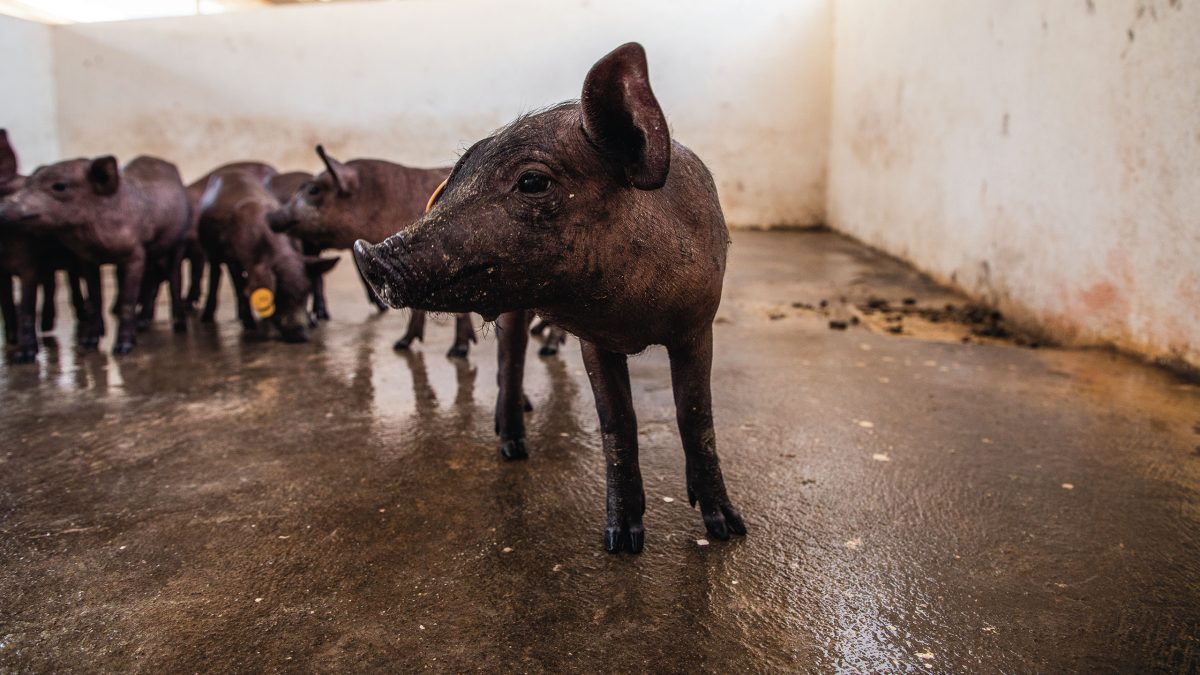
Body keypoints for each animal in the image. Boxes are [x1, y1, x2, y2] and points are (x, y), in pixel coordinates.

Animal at [0, 129, 92, 362]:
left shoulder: (29, 264)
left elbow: (26, 306)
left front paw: (24, 355)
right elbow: (7, 304)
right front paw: (12, 342)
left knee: (70, 282)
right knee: (52, 285)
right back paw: (46, 327)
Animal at [0, 153, 189, 355]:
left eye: (59, 186)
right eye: (28, 183)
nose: (3, 209)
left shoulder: (136, 254)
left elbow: (127, 300)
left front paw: (122, 349)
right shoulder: (86, 259)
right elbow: (95, 296)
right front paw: (88, 343)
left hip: (179, 241)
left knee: (174, 277)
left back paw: (178, 326)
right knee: (152, 278)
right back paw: (142, 322)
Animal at [195, 164, 337, 342]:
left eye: (305, 293)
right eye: (280, 295)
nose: (300, 335)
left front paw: (312, 323)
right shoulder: (234, 259)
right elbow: (240, 285)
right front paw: (250, 325)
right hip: (211, 251)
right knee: (216, 274)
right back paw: (209, 318)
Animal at [354, 43, 745, 553]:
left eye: (533, 182)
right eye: (452, 185)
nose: (367, 254)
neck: (636, 322)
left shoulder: (698, 324)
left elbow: (696, 416)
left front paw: (727, 530)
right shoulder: (596, 340)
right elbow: (617, 421)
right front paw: (621, 541)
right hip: (513, 306)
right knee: (510, 359)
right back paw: (512, 447)